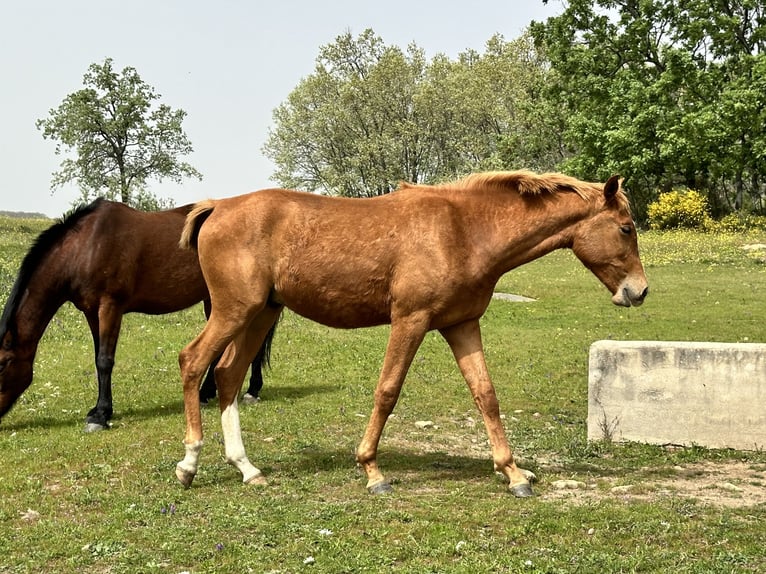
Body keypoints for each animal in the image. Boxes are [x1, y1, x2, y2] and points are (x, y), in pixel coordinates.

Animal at [0, 201, 272, 432]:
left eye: (3, 363)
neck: (86, 247)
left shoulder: (110, 307)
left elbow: (105, 360)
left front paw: (101, 416)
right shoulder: (91, 312)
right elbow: (98, 358)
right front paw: (98, 410)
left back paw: (251, 391)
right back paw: (206, 393)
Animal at [172, 169, 648, 498]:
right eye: (626, 228)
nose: (639, 291)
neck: (464, 231)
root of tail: (217, 206)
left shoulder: (461, 325)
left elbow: (486, 395)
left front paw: (513, 473)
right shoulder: (410, 321)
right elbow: (387, 391)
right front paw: (372, 470)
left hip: (260, 314)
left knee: (228, 375)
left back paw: (246, 468)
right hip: (235, 312)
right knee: (194, 362)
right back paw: (189, 464)